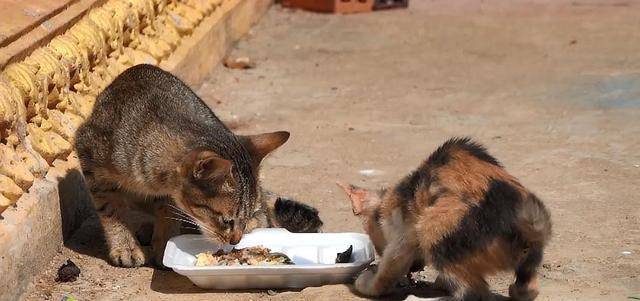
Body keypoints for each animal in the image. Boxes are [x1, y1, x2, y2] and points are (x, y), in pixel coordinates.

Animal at [75, 64, 322, 266]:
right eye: (226, 220)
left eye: (241, 218)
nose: (236, 240)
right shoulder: (88, 156)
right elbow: (110, 209)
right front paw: (125, 246)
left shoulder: (170, 198)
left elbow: (169, 213)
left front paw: (163, 245)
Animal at [338, 137, 552, 300]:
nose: (416, 267)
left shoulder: (403, 236)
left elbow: (389, 269)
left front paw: (366, 281)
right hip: (530, 258)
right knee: (528, 289)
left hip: (432, 228)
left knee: (472, 293)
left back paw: (418, 298)